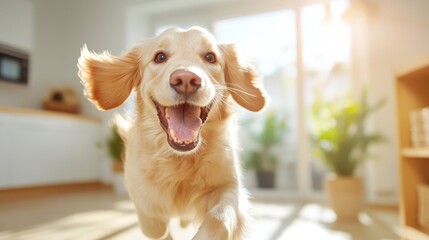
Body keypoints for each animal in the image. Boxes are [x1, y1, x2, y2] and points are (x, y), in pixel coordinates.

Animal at [76, 26, 264, 240]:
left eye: (210, 57)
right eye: (160, 57)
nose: (186, 79)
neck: (179, 159)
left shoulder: (229, 186)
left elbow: (219, 217)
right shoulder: (141, 197)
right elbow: (156, 226)